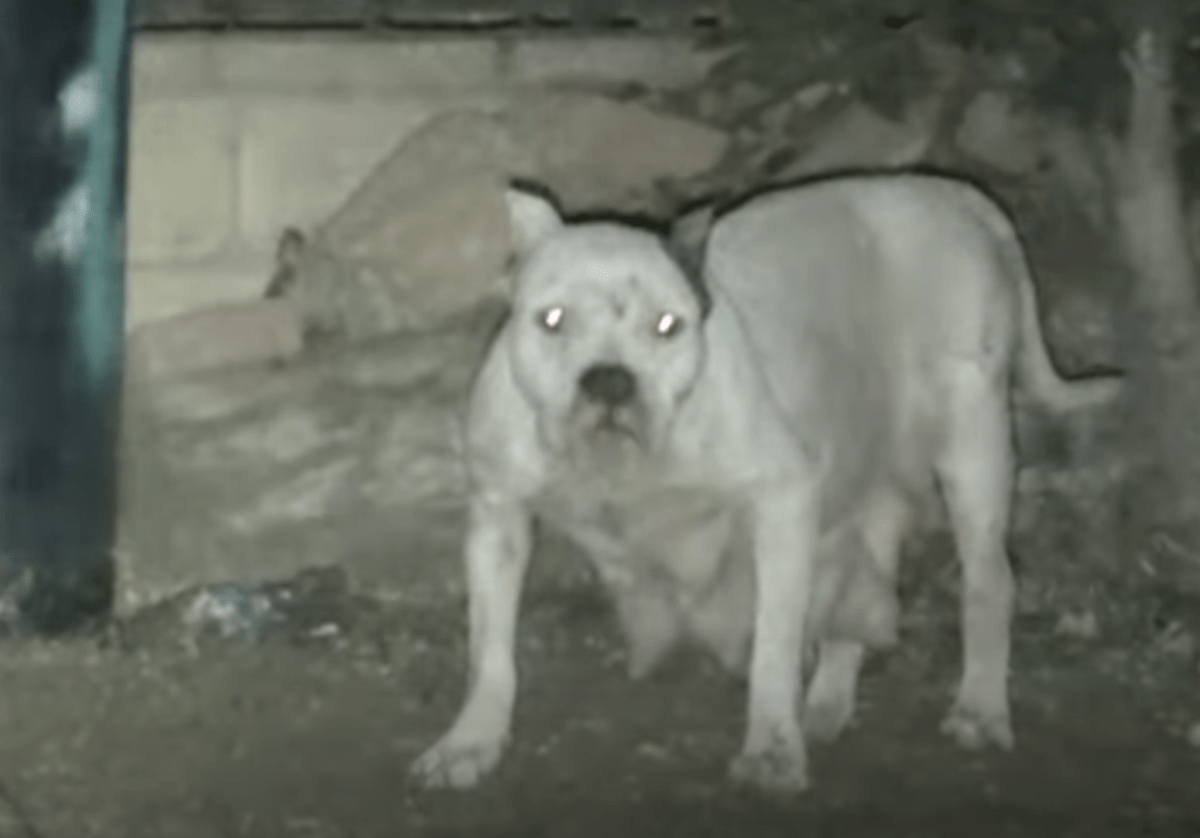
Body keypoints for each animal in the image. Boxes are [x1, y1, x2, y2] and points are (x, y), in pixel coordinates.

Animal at [408, 171, 1118, 787]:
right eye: (551, 320)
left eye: (667, 327)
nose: (609, 379)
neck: (622, 462)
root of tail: (963, 198)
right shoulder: (497, 520)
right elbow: (490, 649)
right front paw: (470, 742)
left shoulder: (782, 501)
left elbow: (773, 643)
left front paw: (772, 750)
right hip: (859, 476)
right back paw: (828, 705)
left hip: (971, 447)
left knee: (989, 582)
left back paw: (980, 708)